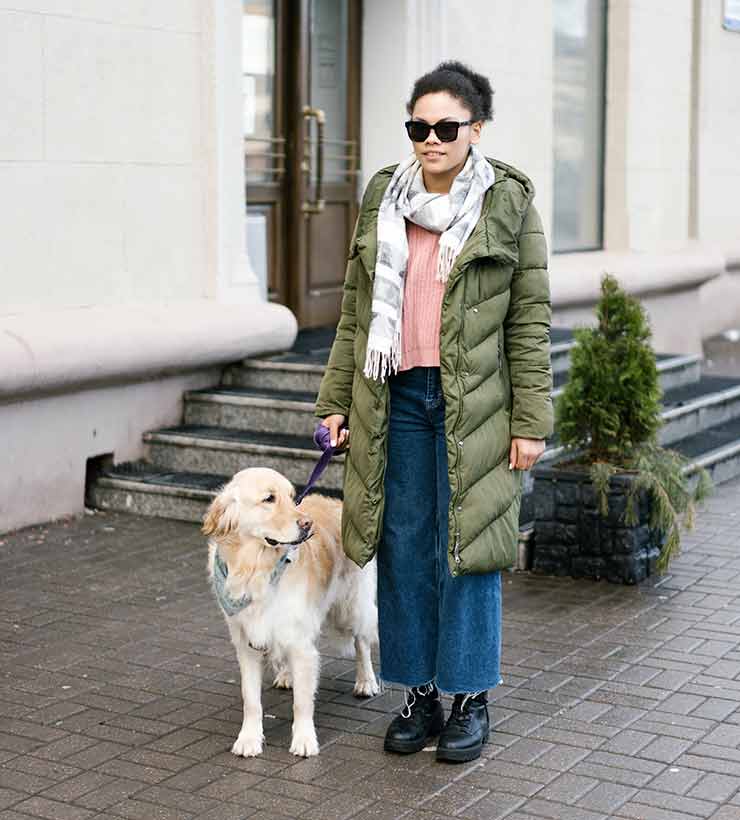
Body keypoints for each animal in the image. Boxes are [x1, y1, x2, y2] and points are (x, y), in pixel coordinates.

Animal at [201, 468, 378, 756]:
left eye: (292, 496)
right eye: (269, 498)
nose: (307, 525)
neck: (256, 569)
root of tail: (336, 502)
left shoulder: (300, 643)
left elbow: (302, 702)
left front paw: (304, 740)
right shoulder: (246, 643)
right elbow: (251, 700)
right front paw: (248, 739)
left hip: (350, 606)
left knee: (361, 641)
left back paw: (366, 682)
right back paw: (286, 675)